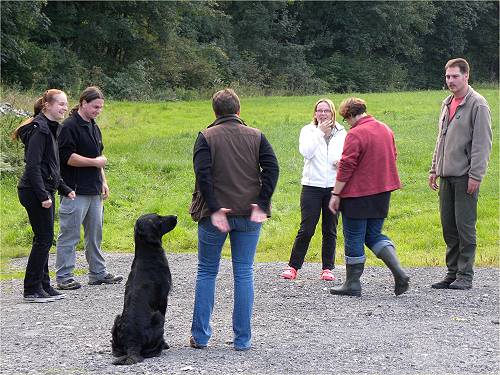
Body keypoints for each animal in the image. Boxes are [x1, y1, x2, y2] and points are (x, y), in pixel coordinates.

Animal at [111, 216, 176, 366]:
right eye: (159, 219)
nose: (176, 216)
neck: (147, 254)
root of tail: (132, 343)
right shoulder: (163, 299)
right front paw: (165, 344)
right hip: (159, 317)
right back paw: (161, 347)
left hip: (117, 318)